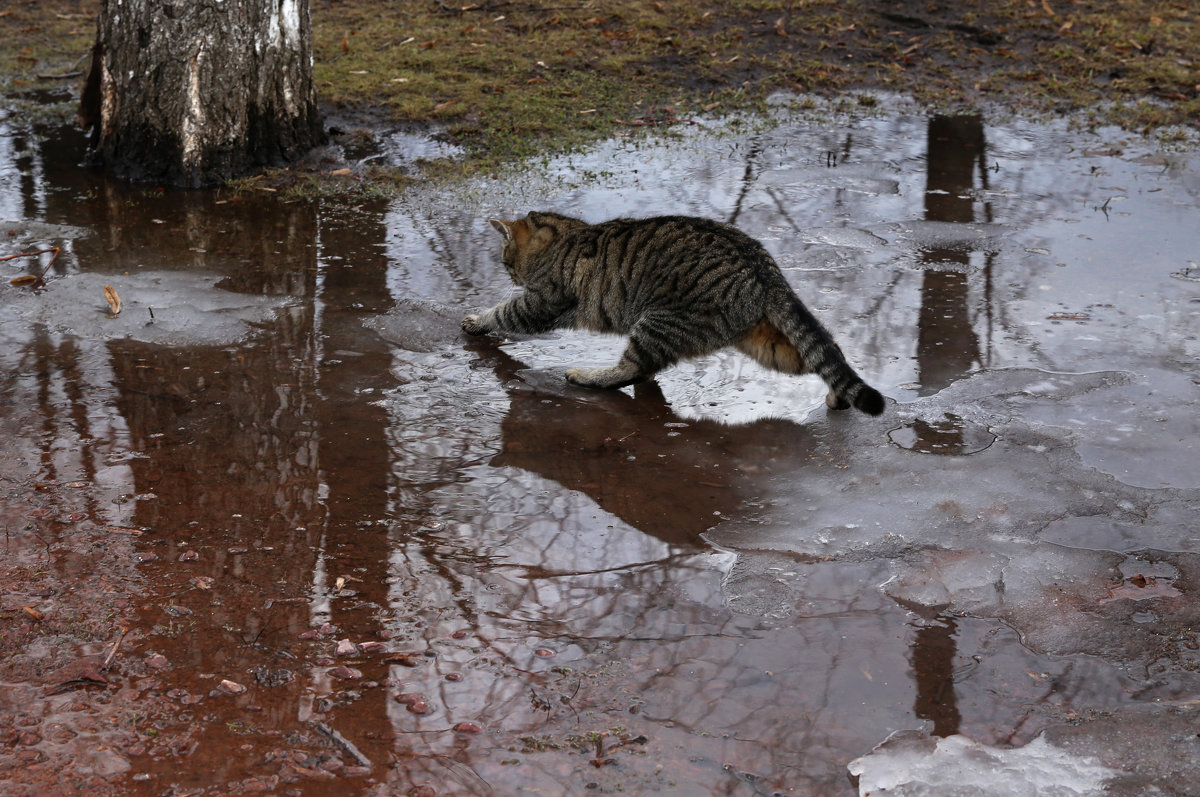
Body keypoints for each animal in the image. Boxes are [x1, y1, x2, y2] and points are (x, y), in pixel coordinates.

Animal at [463, 210, 888, 417]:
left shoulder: (542, 302)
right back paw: (837, 395)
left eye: (505, 261)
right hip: (764, 343)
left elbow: (506, 313)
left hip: (658, 321)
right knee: (824, 353)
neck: (563, 233)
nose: (510, 274)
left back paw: (588, 377)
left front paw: (478, 321)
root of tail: (763, 267)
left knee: (632, 369)